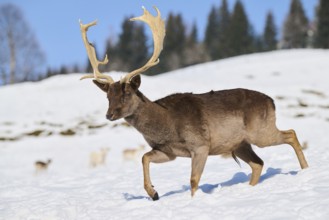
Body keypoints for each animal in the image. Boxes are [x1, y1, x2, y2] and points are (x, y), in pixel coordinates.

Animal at [79, 6, 308, 200]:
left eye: (126, 93)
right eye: (108, 96)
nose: (109, 114)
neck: (167, 126)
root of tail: (271, 101)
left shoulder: (200, 145)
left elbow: (193, 180)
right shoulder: (168, 151)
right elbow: (144, 157)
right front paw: (153, 193)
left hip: (260, 132)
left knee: (290, 133)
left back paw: (306, 169)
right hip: (241, 143)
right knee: (259, 163)